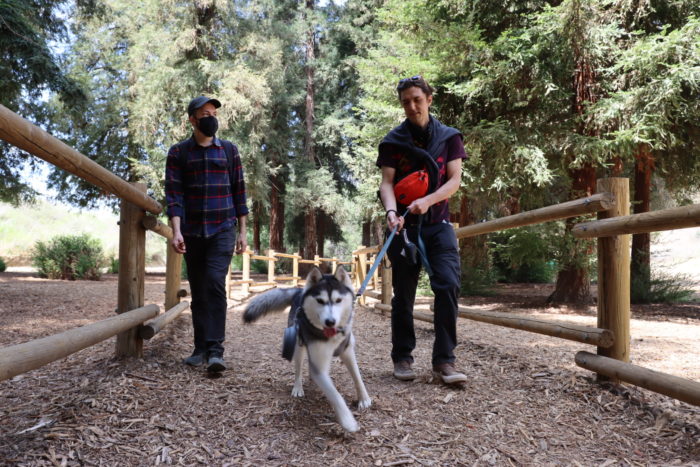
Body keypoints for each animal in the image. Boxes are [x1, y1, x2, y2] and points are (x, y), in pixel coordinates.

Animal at [242, 268, 372, 434]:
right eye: (320, 301)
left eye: (338, 300)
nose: (330, 322)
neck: (330, 337)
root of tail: (300, 291)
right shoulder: (318, 366)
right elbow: (335, 394)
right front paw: (347, 420)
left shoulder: (348, 351)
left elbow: (357, 377)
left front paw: (364, 399)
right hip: (298, 348)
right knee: (298, 370)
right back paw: (298, 387)